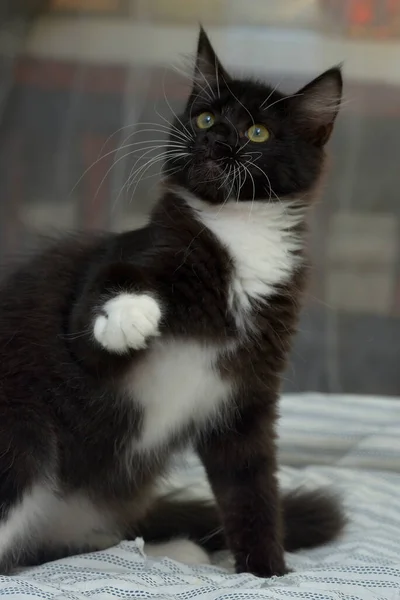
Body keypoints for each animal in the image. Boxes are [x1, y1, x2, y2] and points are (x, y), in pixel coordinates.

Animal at [0, 28, 344, 576]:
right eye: (204, 117)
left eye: (257, 133)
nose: (214, 138)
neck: (237, 231)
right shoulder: (116, 269)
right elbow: (105, 295)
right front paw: (132, 315)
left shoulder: (246, 398)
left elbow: (252, 489)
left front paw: (267, 573)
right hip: (22, 430)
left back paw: (174, 548)